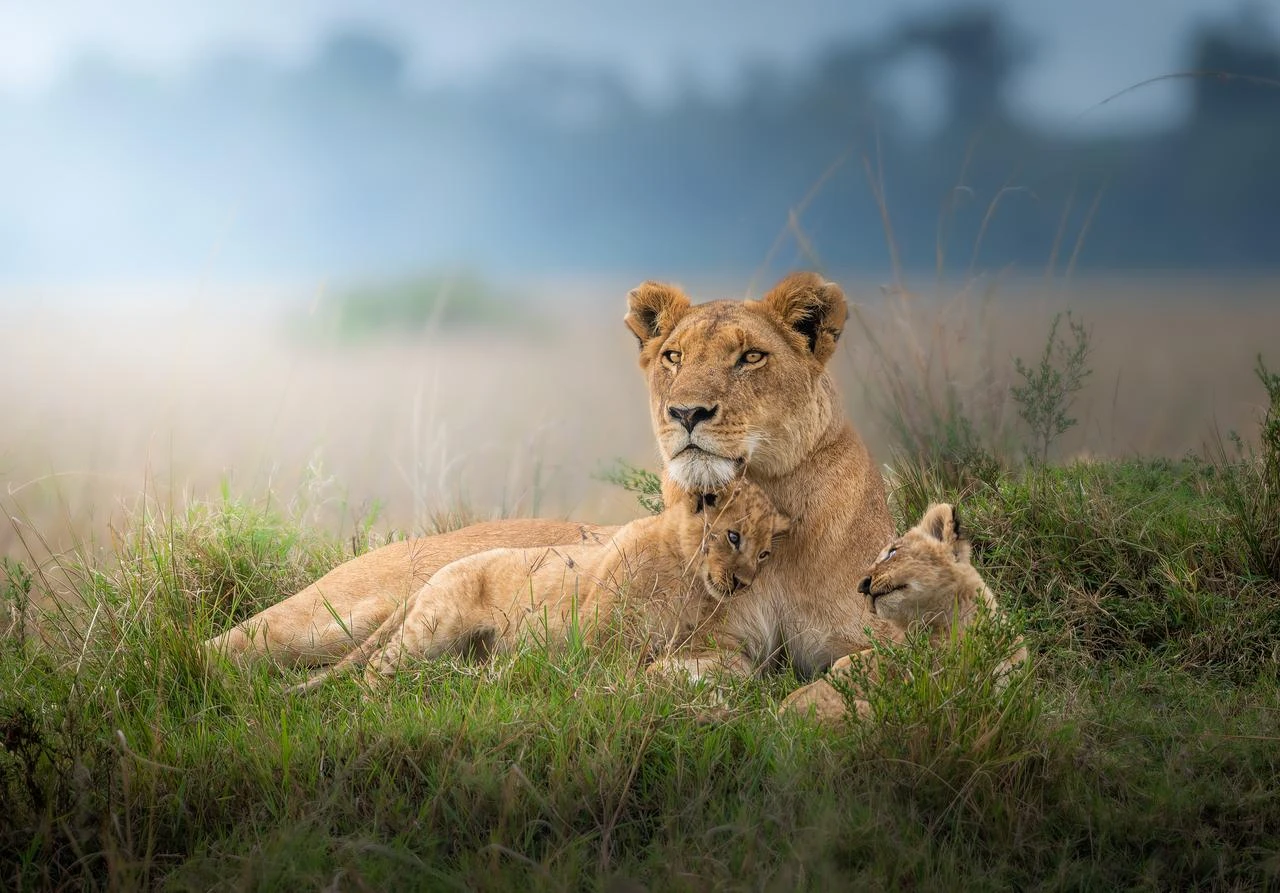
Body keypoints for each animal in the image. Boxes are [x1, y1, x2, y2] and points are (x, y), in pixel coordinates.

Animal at [293, 477, 789, 690]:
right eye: (733, 536)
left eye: (766, 553)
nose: (744, 583)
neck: (686, 577)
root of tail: (436, 574)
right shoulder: (596, 633)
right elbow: (616, 671)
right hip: (433, 628)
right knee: (379, 664)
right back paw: (377, 698)